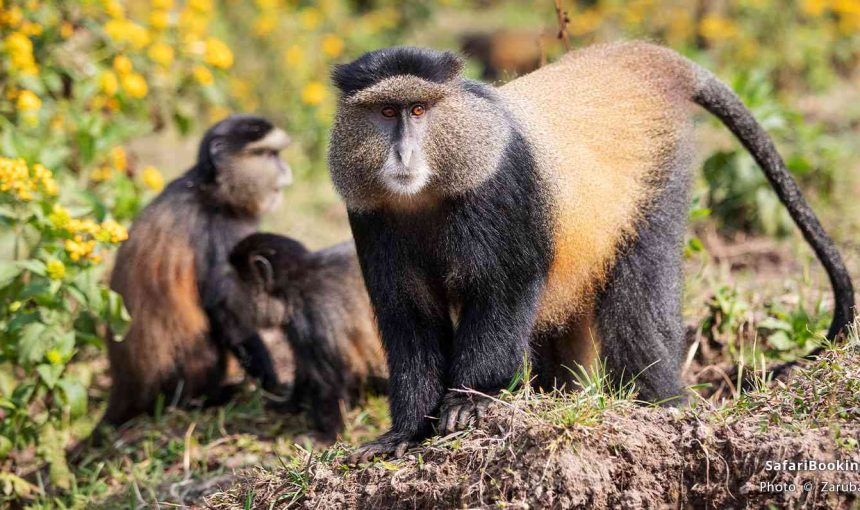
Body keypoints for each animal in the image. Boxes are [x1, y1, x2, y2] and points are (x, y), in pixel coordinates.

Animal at [101, 115, 293, 429]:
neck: (212, 190)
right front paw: (275, 386)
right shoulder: (219, 231)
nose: (285, 170)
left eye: (277, 154)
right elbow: (227, 312)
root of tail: (124, 391)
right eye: (268, 154)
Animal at [223, 232, 387, 440]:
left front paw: (326, 434)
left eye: (237, 281)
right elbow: (305, 368)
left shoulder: (313, 312)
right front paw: (289, 404)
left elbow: (329, 379)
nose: (228, 296)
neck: (294, 288)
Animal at [326, 43, 856, 461]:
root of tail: (635, 60)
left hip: (658, 182)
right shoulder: (371, 218)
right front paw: (404, 432)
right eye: (386, 113)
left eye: (418, 110)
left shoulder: (500, 188)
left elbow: (505, 289)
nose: (403, 155)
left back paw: (662, 407)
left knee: (638, 312)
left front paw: (472, 400)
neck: (430, 191)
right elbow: (408, 316)